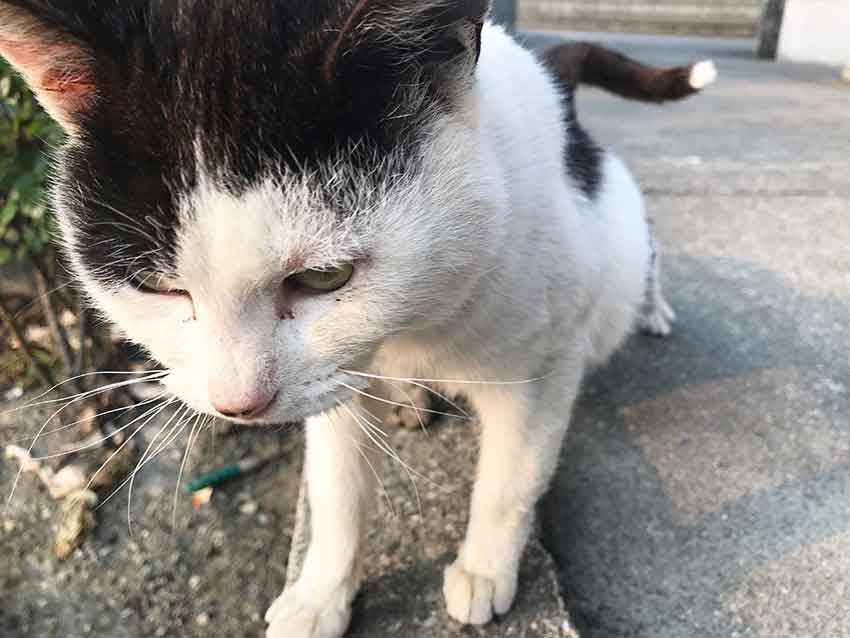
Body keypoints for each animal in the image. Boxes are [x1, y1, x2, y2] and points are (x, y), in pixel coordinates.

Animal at [0, 2, 712, 637]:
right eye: (156, 287)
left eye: (323, 278)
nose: (239, 404)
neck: (414, 328)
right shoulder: (332, 386)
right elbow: (338, 492)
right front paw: (321, 596)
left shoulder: (543, 367)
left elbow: (510, 483)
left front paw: (484, 570)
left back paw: (653, 309)